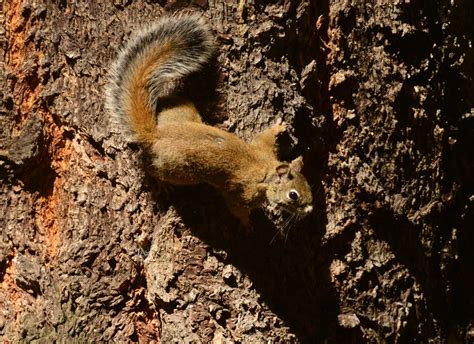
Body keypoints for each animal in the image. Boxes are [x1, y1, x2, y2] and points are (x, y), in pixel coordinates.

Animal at [104, 13, 312, 224]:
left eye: (308, 185)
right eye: (293, 195)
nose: (310, 210)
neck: (267, 170)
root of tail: (156, 135)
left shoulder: (263, 149)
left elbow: (264, 137)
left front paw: (279, 127)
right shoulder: (242, 191)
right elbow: (235, 206)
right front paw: (247, 222)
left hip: (183, 113)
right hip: (180, 171)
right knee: (153, 170)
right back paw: (161, 184)